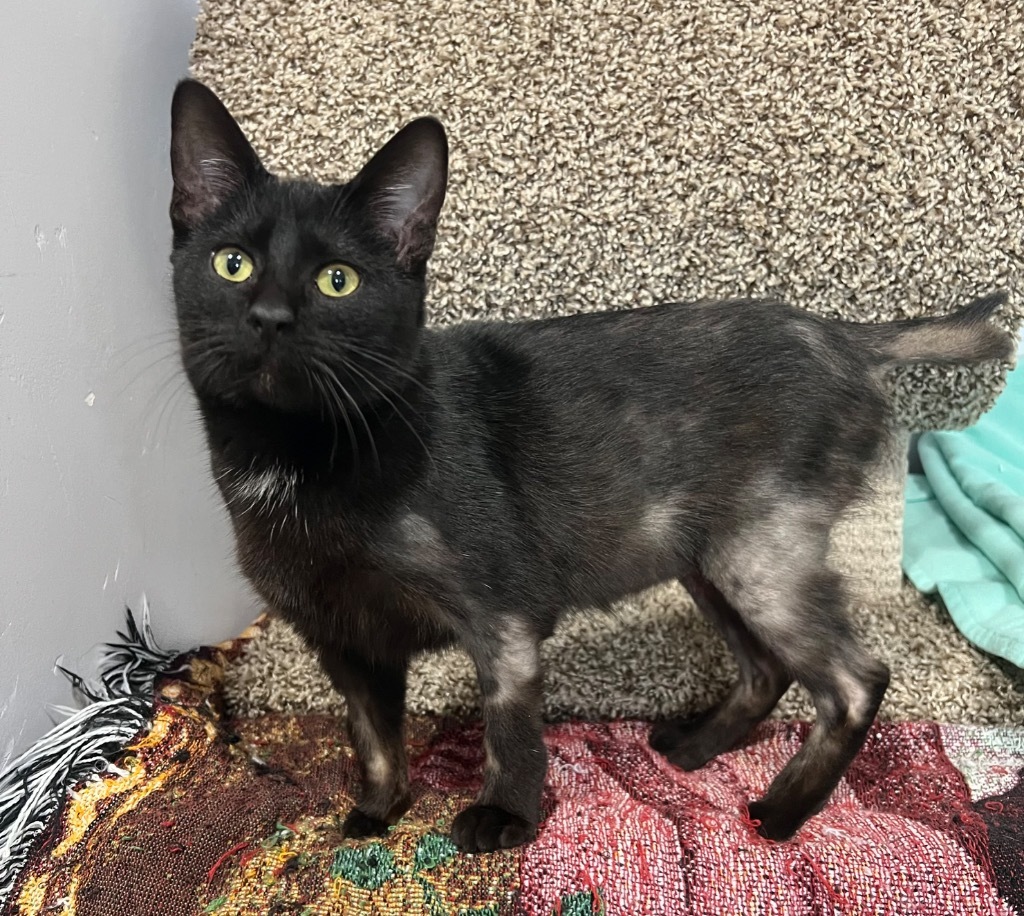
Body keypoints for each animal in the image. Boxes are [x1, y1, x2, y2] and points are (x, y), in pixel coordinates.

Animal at [169, 76, 1015, 851]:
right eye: (232, 264)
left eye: (336, 280)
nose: (270, 317)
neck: (297, 461)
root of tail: (838, 333)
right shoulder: (344, 643)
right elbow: (373, 737)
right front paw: (379, 811)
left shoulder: (501, 617)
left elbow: (510, 731)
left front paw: (507, 816)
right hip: (707, 556)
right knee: (766, 670)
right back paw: (695, 751)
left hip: (759, 553)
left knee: (854, 681)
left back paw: (782, 812)